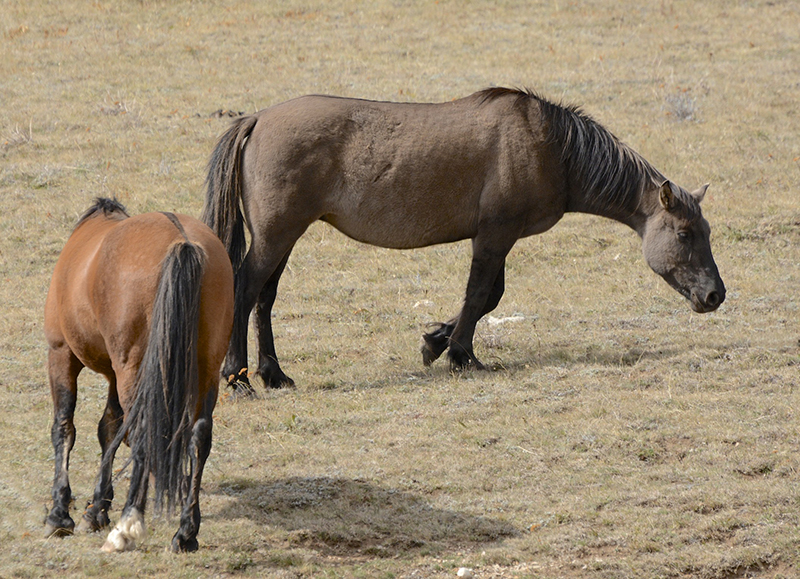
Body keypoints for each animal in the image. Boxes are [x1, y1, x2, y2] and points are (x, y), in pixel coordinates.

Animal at [43, 198, 233, 552]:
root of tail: (183, 242)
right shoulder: (114, 372)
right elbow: (110, 429)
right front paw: (97, 508)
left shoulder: (60, 353)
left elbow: (64, 428)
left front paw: (60, 514)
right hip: (205, 369)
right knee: (199, 437)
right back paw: (186, 532)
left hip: (132, 369)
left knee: (143, 435)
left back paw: (127, 525)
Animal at [202, 87, 724, 394]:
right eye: (683, 233)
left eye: (706, 232)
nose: (715, 295)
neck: (550, 147)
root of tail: (257, 119)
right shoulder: (495, 235)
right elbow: (479, 295)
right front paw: (460, 355)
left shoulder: (500, 236)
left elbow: (490, 297)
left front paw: (435, 341)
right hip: (277, 235)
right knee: (246, 291)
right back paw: (238, 378)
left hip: (284, 236)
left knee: (264, 298)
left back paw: (273, 374)